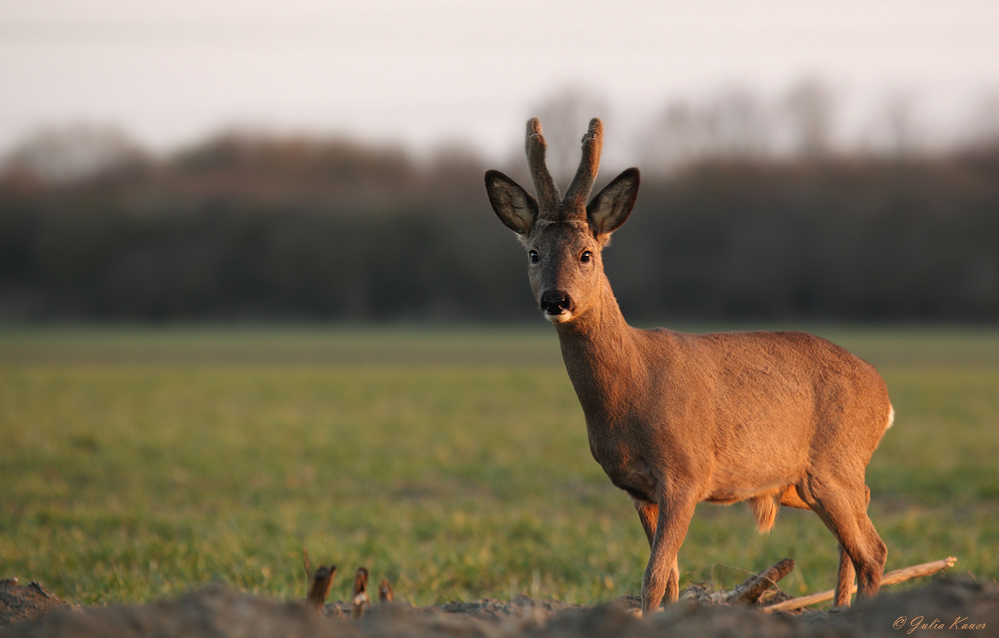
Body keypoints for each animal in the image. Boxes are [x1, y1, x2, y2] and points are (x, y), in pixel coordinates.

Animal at [482, 119, 892, 616]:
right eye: (534, 253)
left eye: (586, 253)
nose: (556, 300)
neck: (632, 386)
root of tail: (884, 394)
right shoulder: (639, 489)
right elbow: (671, 578)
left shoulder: (686, 473)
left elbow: (654, 576)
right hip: (803, 481)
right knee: (858, 529)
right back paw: (839, 607)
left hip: (834, 463)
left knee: (874, 549)